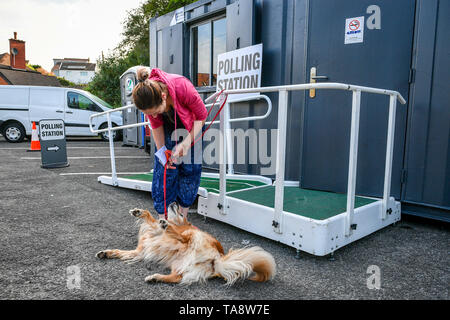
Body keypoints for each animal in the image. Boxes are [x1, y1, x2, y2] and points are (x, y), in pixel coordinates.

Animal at [96, 202, 276, 284]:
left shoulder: (155, 230)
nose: (175, 202)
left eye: (182, 214)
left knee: (183, 238)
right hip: (178, 264)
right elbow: (120, 252)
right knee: (176, 278)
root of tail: (217, 260)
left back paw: (167, 226)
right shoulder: (139, 251)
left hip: (195, 236)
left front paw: (140, 213)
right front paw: (107, 253)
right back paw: (156, 277)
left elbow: (150, 216)